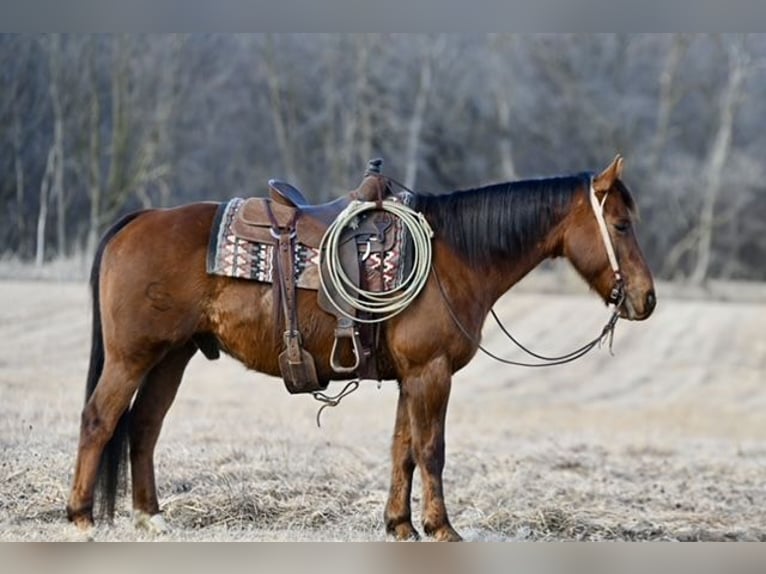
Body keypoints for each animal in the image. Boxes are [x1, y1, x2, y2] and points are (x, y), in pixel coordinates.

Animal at [66, 155, 656, 544]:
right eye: (621, 224)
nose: (647, 299)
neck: (455, 255)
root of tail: (138, 219)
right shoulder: (431, 374)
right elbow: (431, 450)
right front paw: (442, 528)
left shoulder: (411, 378)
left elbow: (403, 451)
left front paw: (400, 526)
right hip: (132, 357)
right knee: (99, 420)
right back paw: (81, 518)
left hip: (172, 356)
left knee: (144, 426)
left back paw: (151, 516)